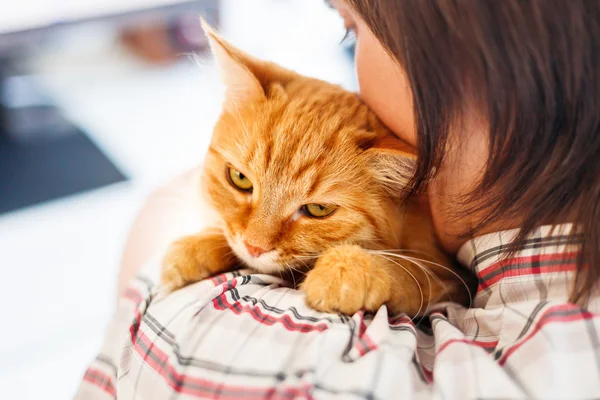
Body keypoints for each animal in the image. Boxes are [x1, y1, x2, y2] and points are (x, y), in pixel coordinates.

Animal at [161, 22, 474, 316]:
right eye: (240, 179)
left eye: (318, 210)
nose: (254, 247)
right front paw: (196, 248)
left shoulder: (453, 279)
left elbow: (409, 271)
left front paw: (347, 268)